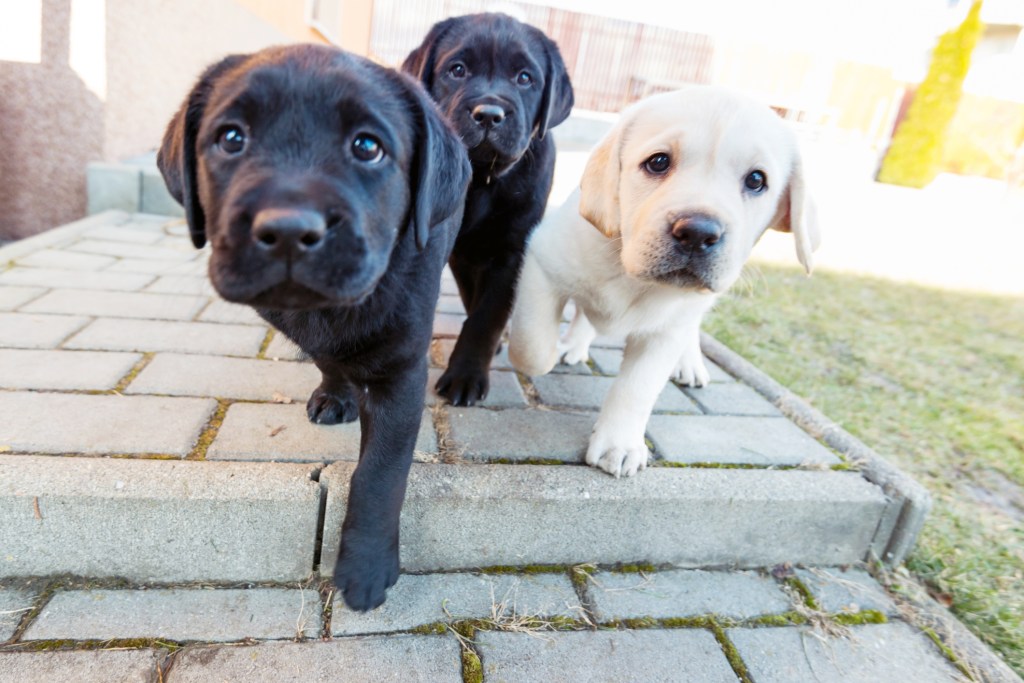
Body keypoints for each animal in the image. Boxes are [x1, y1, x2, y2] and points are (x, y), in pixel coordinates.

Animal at [157, 44, 468, 610]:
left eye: (367, 147)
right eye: (231, 138)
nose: (287, 230)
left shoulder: (400, 373)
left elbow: (379, 475)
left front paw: (366, 569)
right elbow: (326, 355)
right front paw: (335, 393)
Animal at [401, 12, 577, 405]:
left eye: (524, 78)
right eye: (458, 69)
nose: (489, 114)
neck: (481, 180)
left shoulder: (511, 252)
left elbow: (486, 316)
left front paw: (466, 375)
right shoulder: (458, 254)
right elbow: (474, 301)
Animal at [507, 85, 819, 479]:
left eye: (756, 180)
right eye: (657, 162)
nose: (698, 233)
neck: (629, 269)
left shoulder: (666, 330)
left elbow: (638, 388)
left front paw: (619, 444)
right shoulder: (543, 262)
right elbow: (530, 349)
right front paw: (545, 354)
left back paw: (690, 364)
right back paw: (575, 342)